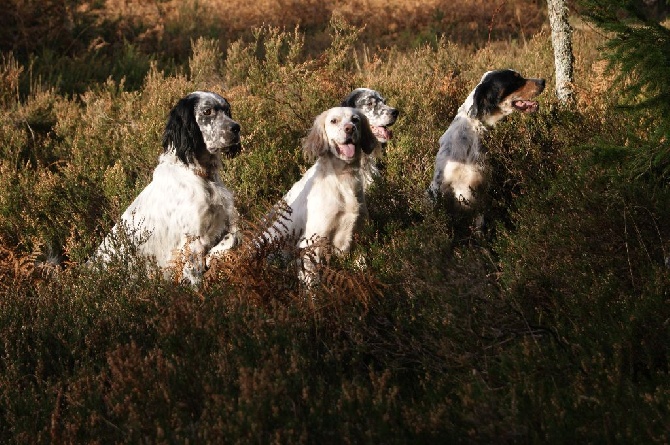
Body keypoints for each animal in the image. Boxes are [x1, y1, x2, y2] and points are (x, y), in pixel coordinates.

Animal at [93, 90, 243, 284]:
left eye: (227, 110)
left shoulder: (225, 219)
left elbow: (234, 237)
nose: (236, 128)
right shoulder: (191, 243)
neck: (201, 175)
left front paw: (214, 255)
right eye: (207, 111)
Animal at [262, 106, 378, 280]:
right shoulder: (310, 244)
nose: (350, 129)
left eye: (355, 119)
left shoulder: (359, 234)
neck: (343, 178)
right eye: (333, 120)